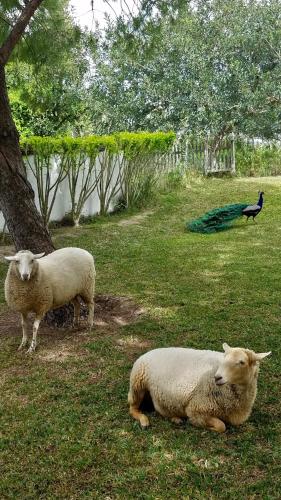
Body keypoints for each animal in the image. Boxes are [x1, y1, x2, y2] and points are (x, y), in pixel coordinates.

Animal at [128, 344, 270, 434]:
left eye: (242, 362)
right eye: (224, 359)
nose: (217, 377)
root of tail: (148, 352)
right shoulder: (197, 409)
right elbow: (221, 426)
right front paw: (208, 428)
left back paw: (175, 419)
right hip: (137, 383)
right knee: (133, 408)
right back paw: (144, 421)